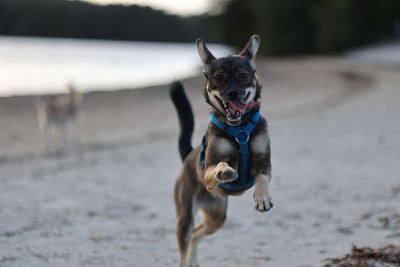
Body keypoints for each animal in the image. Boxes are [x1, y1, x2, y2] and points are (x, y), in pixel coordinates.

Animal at [170, 35, 274, 267]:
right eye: (218, 77)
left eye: (243, 76)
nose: (232, 93)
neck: (239, 128)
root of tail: (187, 157)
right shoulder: (209, 166)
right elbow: (219, 164)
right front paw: (225, 170)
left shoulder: (265, 161)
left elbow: (262, 177)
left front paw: (262, 198)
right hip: (185, 216)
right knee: (186, 240)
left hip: (216, 217)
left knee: (196, 233)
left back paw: (194, 260)